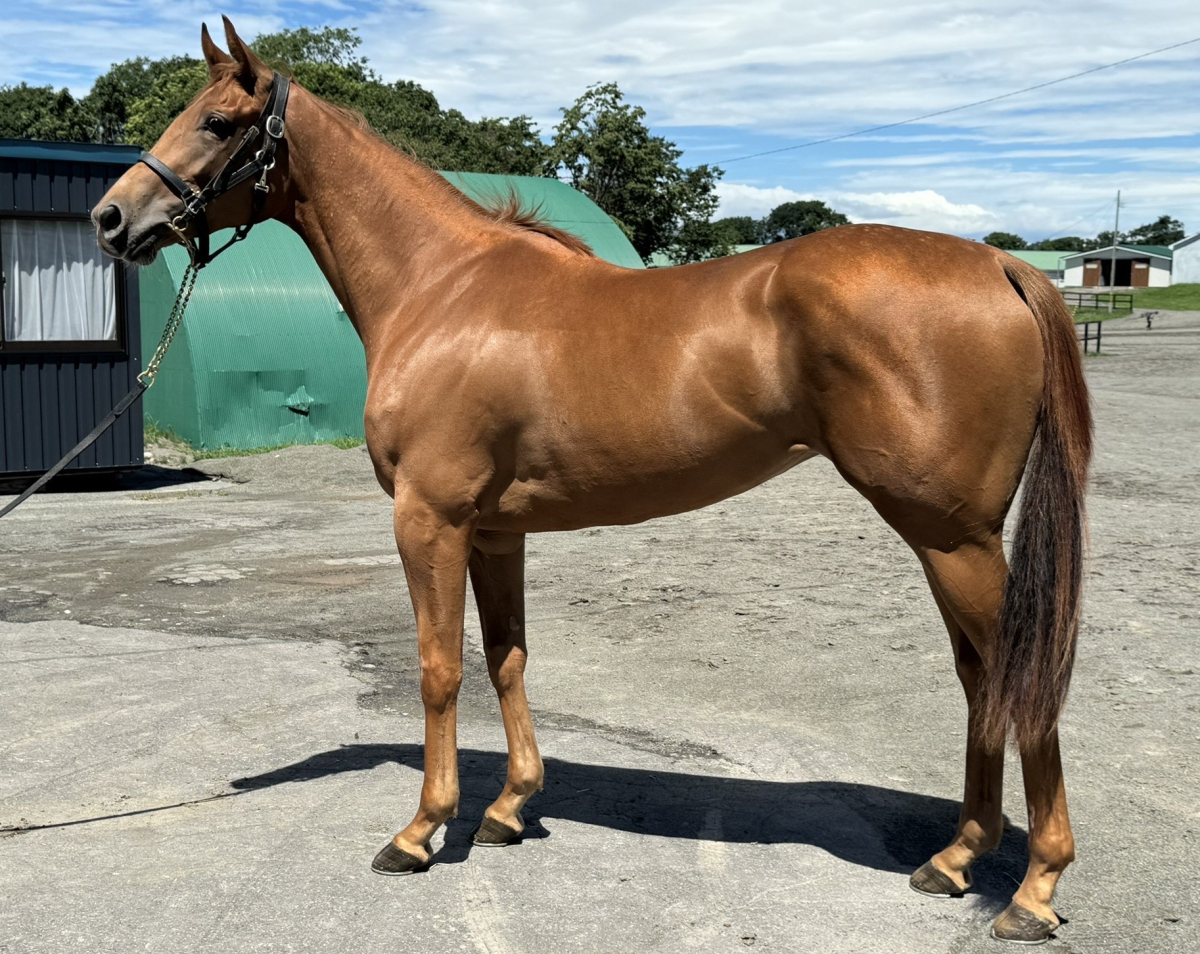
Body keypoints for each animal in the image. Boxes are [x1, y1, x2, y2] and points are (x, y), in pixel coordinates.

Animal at [93, 18, 1091, 945]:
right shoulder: (495, 530)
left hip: (951, 537)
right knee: (982, 678)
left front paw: (421, 831)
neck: (440, 288)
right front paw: (509, 809)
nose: (111, 220)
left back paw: (1033, 889)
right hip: (945, 539)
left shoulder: (430, 520)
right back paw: (956, 858)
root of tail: (999, 262)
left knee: (1021, 679)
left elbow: (438, 669)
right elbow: (506, 657)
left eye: (219, 122)